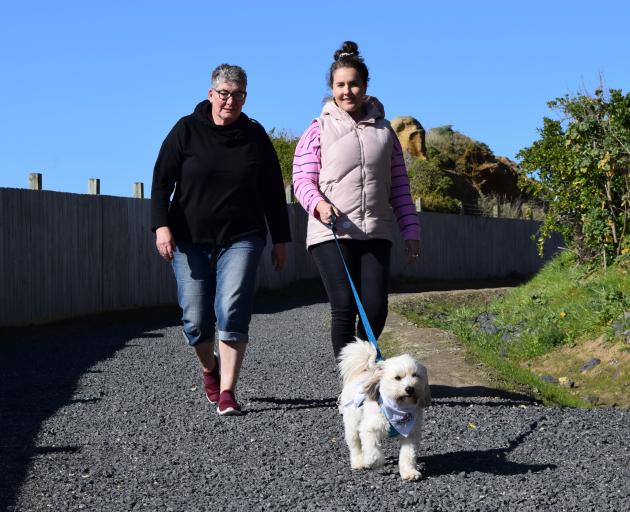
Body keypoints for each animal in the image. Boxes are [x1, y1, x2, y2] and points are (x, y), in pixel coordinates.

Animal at [338, 340, 432, 480]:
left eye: (415, 375)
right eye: (397, 377)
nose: (410, 388)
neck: (399, 408)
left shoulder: (411, 434)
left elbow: (408, 455)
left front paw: (409, 472)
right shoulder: (369, 429)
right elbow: (373, 451)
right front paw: (373, 462)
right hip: (352, 425)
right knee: (355, 445)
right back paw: (359, 462)